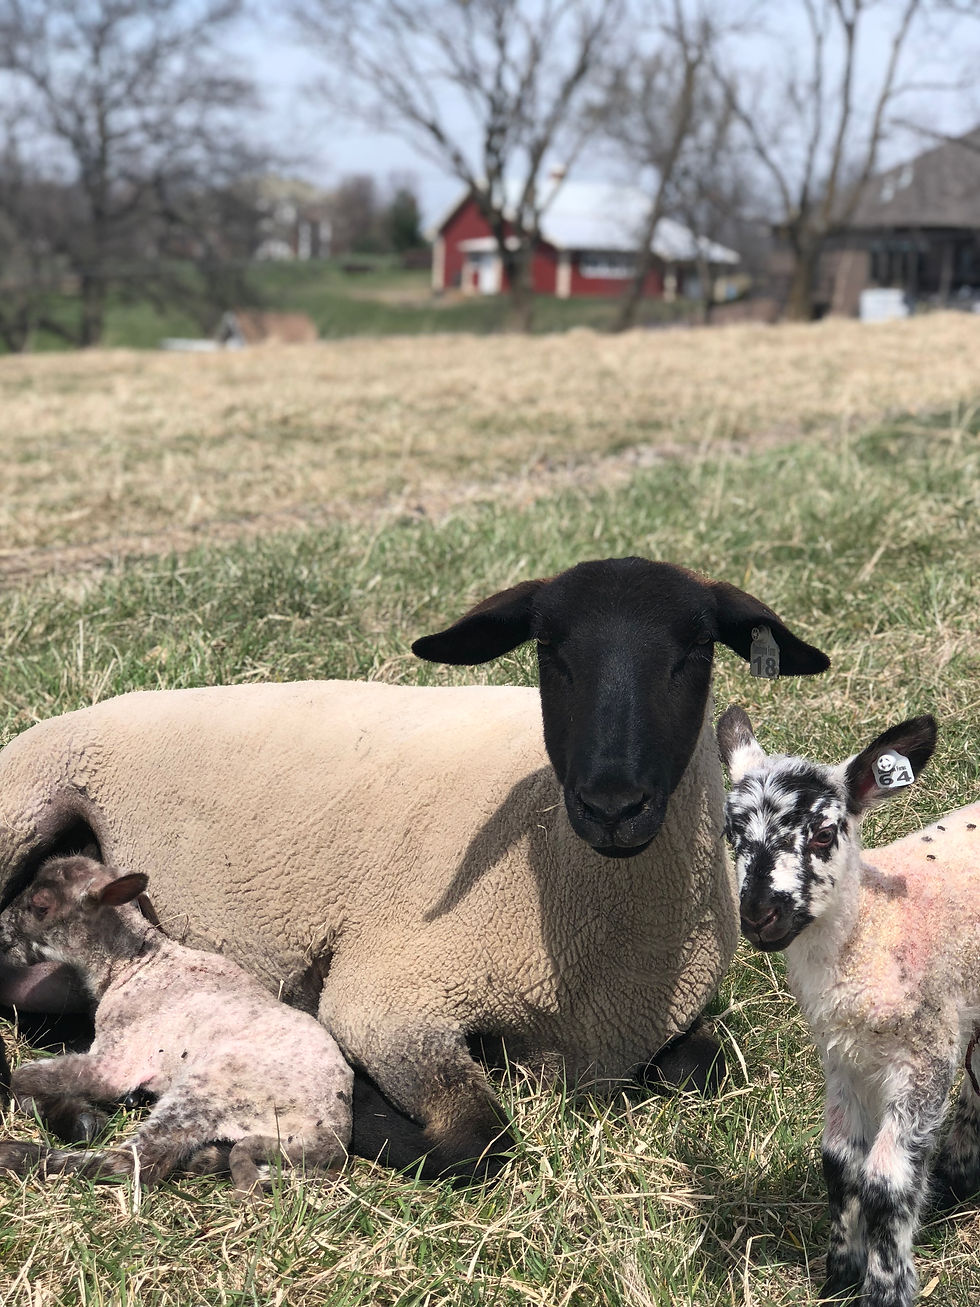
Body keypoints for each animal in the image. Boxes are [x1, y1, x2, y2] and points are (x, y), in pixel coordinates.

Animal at [0, 855, 353, 1194]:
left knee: (137, 1161)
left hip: (212, 1086)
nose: (1, 933)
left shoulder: (117, 1059)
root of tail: (329, 1139)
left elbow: (23, 1077)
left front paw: (76, 1116)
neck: (132, 964)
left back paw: (19, 1154)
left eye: (40, 906)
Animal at [717, 704, 980, 1307]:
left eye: (822, 834)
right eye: (731, 832)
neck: (871, 929)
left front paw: (886, 1288)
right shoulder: (841, 1056)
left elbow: (886, 1180)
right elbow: (839, 1162)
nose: (759, 915)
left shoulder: (925, 1057)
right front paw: (838, 1273)